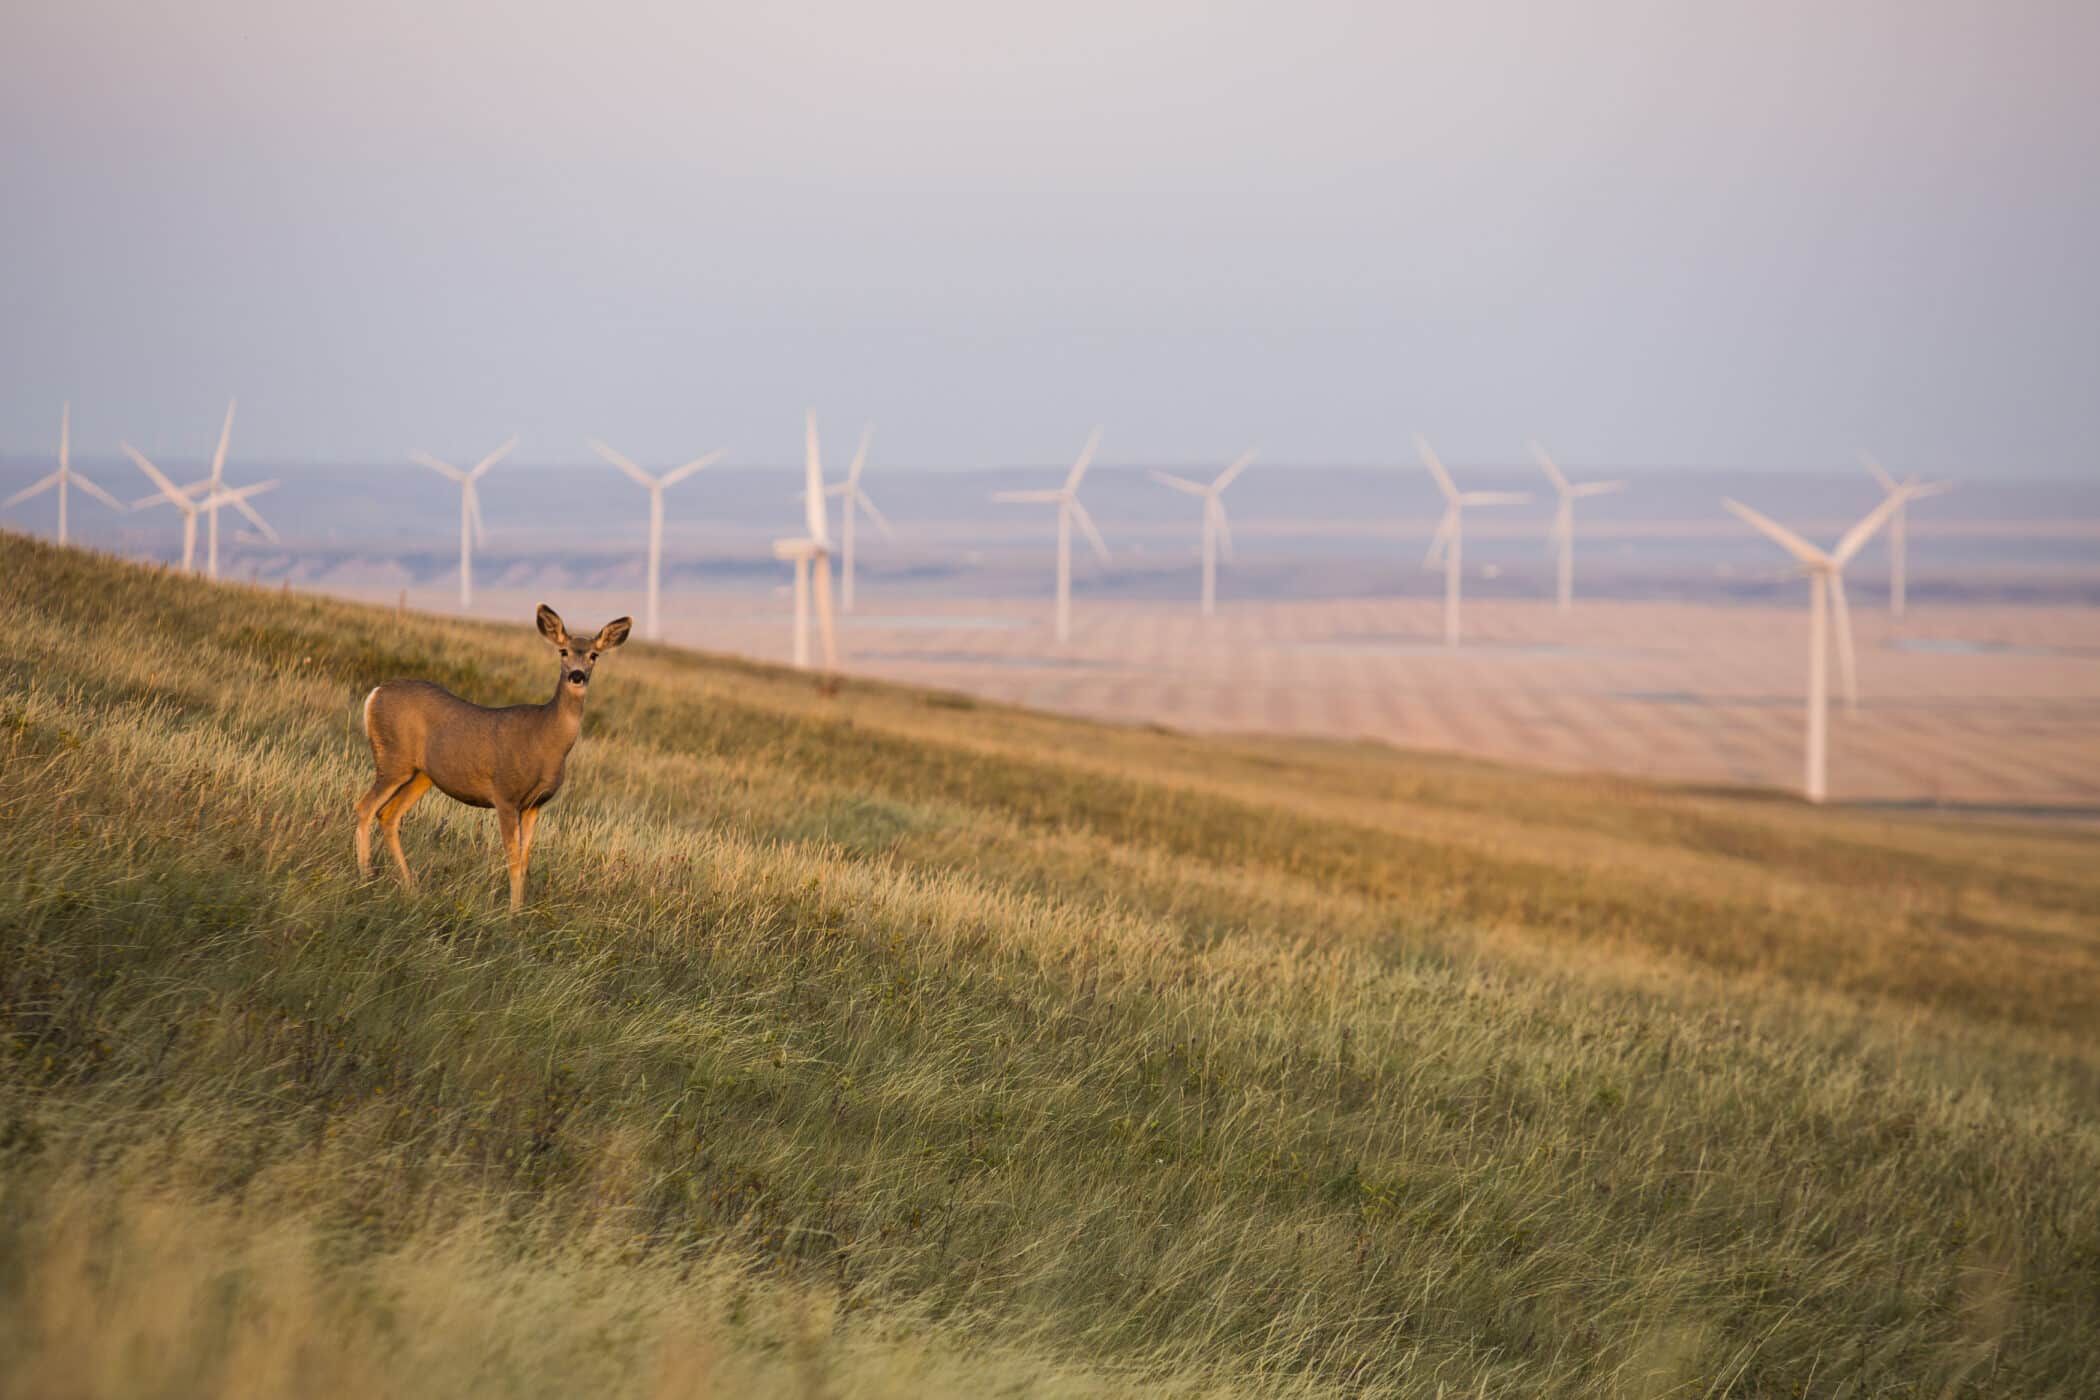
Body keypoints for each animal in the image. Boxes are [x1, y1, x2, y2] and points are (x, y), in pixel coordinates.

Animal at [356, 604, 630, 915]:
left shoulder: (534, 805)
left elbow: (525, 860)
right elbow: (512, 858)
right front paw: (512, 913)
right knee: (364, 807)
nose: (577, 675)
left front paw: (520, 910)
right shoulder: (505, 795)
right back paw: (365, 877)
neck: (545, 739)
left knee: (387, 815)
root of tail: (375, 692)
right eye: (563, 651)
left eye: (594, 655)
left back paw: (410, 886)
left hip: (421, 775)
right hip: (393, 759)